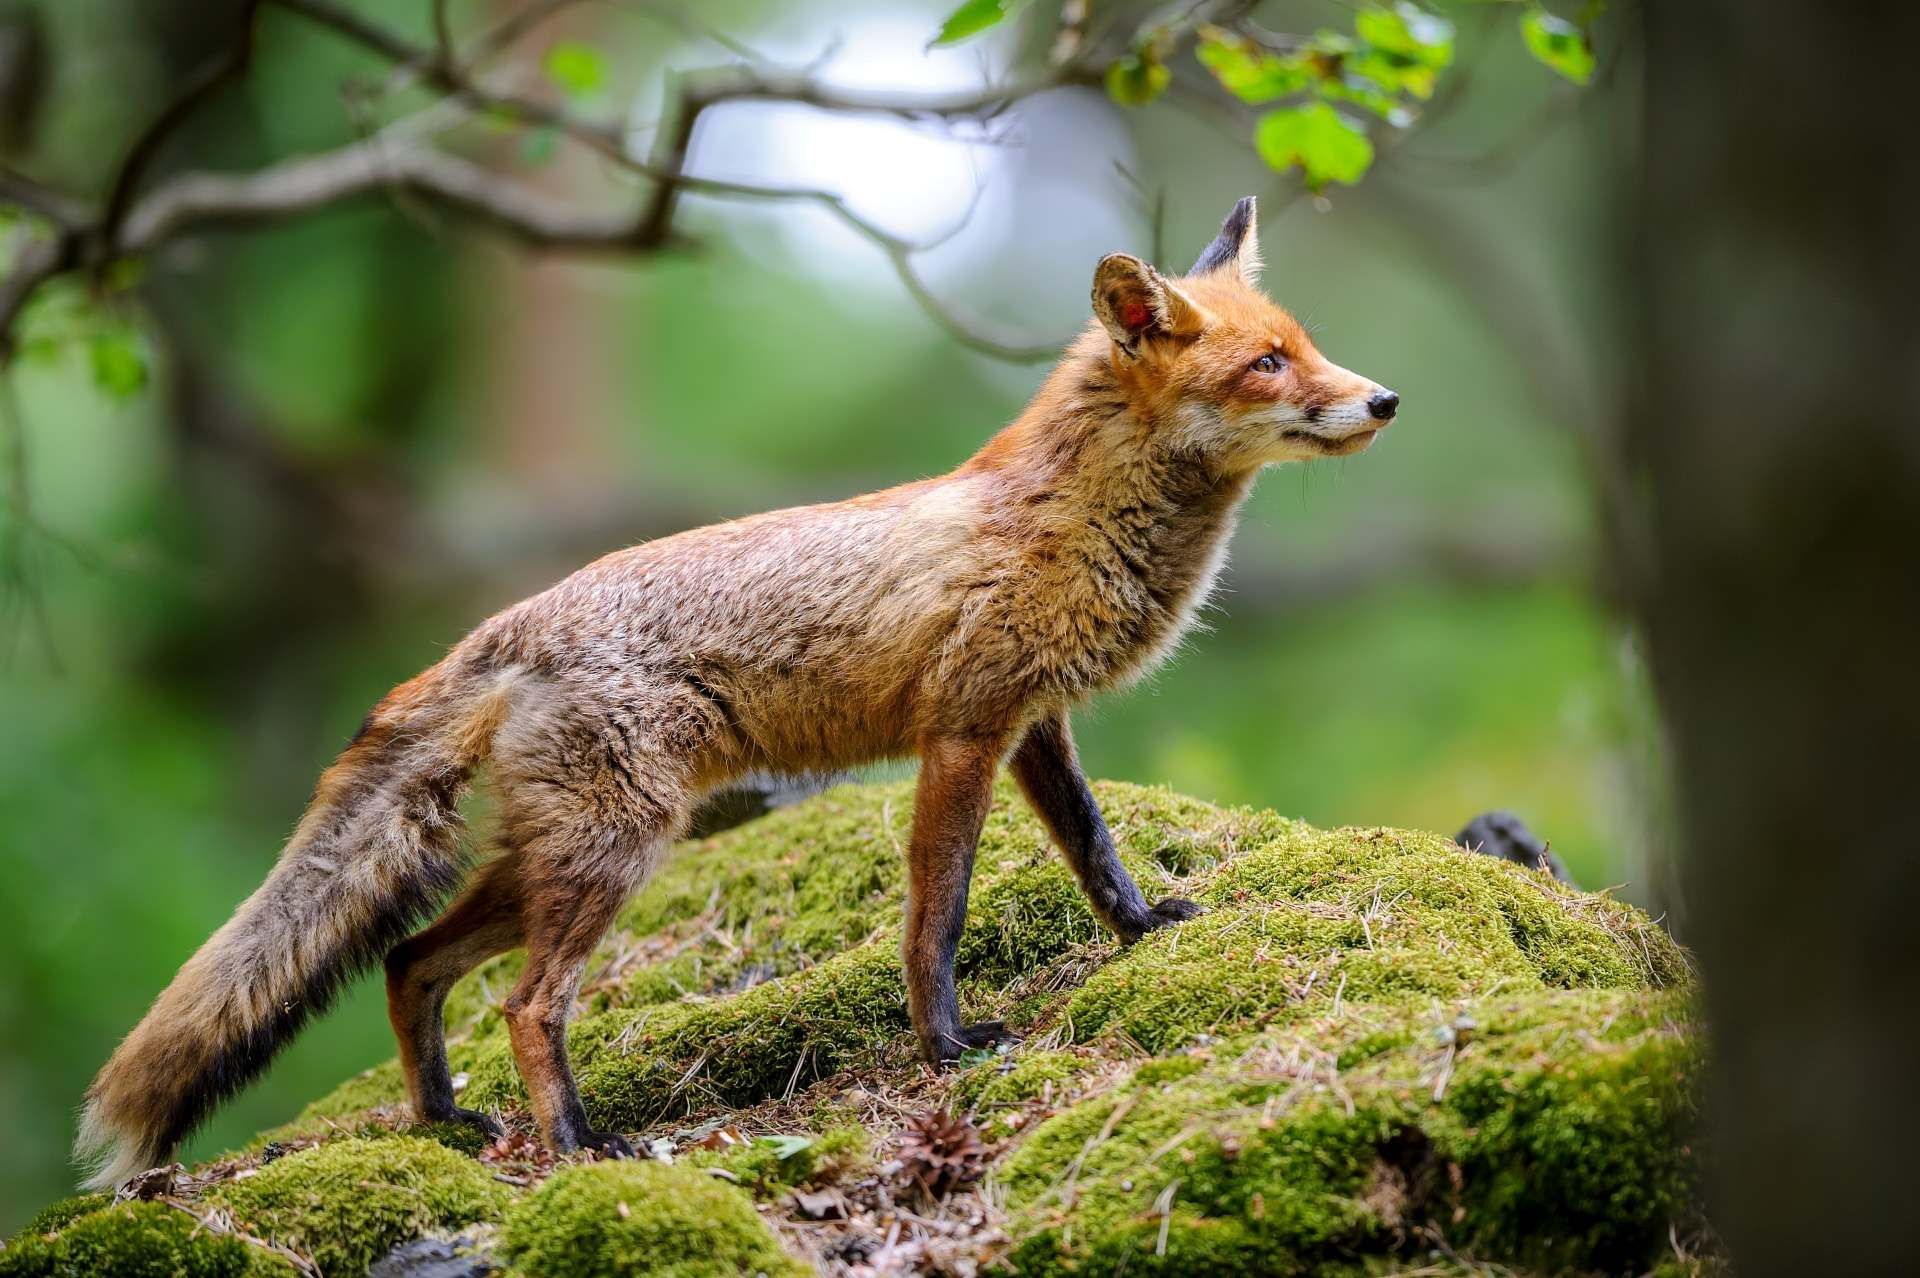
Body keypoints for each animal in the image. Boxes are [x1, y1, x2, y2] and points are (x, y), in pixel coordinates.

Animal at [76, 196, 1399, 1187]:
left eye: (1305, 342)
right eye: (1267, 362)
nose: (1384, 399)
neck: (1069, 519)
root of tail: (516, 623)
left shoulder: (1031, 724)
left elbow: (1093, 845)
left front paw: (1139, 930)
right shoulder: (963, 731)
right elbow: (938, 917)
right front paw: (947, 1046)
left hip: (554, 857)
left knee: (407, 960)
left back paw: (445, 1123)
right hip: (614, 853)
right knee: (526, 1005)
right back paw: (576, 1144)